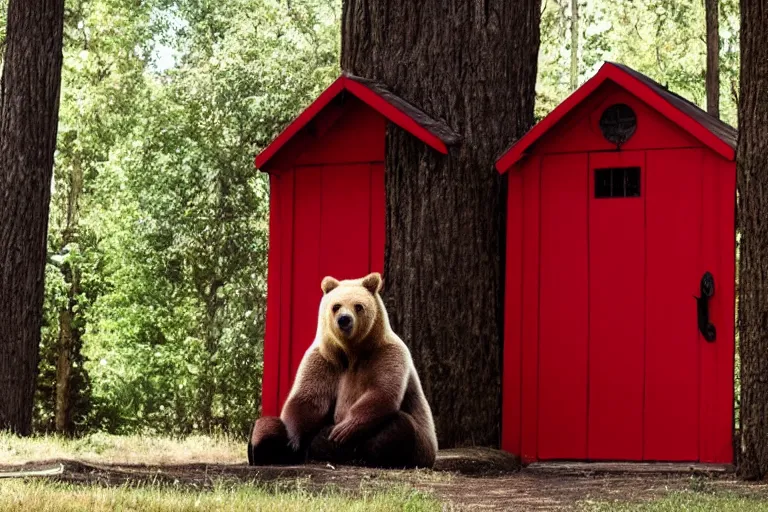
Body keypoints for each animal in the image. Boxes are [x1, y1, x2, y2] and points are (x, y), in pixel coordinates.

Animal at [249, 272, 436, 468]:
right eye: (336, 306)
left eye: (358, 306)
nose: (344, 320)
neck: (352, 352)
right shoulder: (325, 360)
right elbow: (307, 400)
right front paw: (290, 442)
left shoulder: (387, 353)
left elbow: (382, 391)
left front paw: (343, 430)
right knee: (270, 425)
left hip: (422, 445)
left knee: (400, 426)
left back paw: (366, 455)